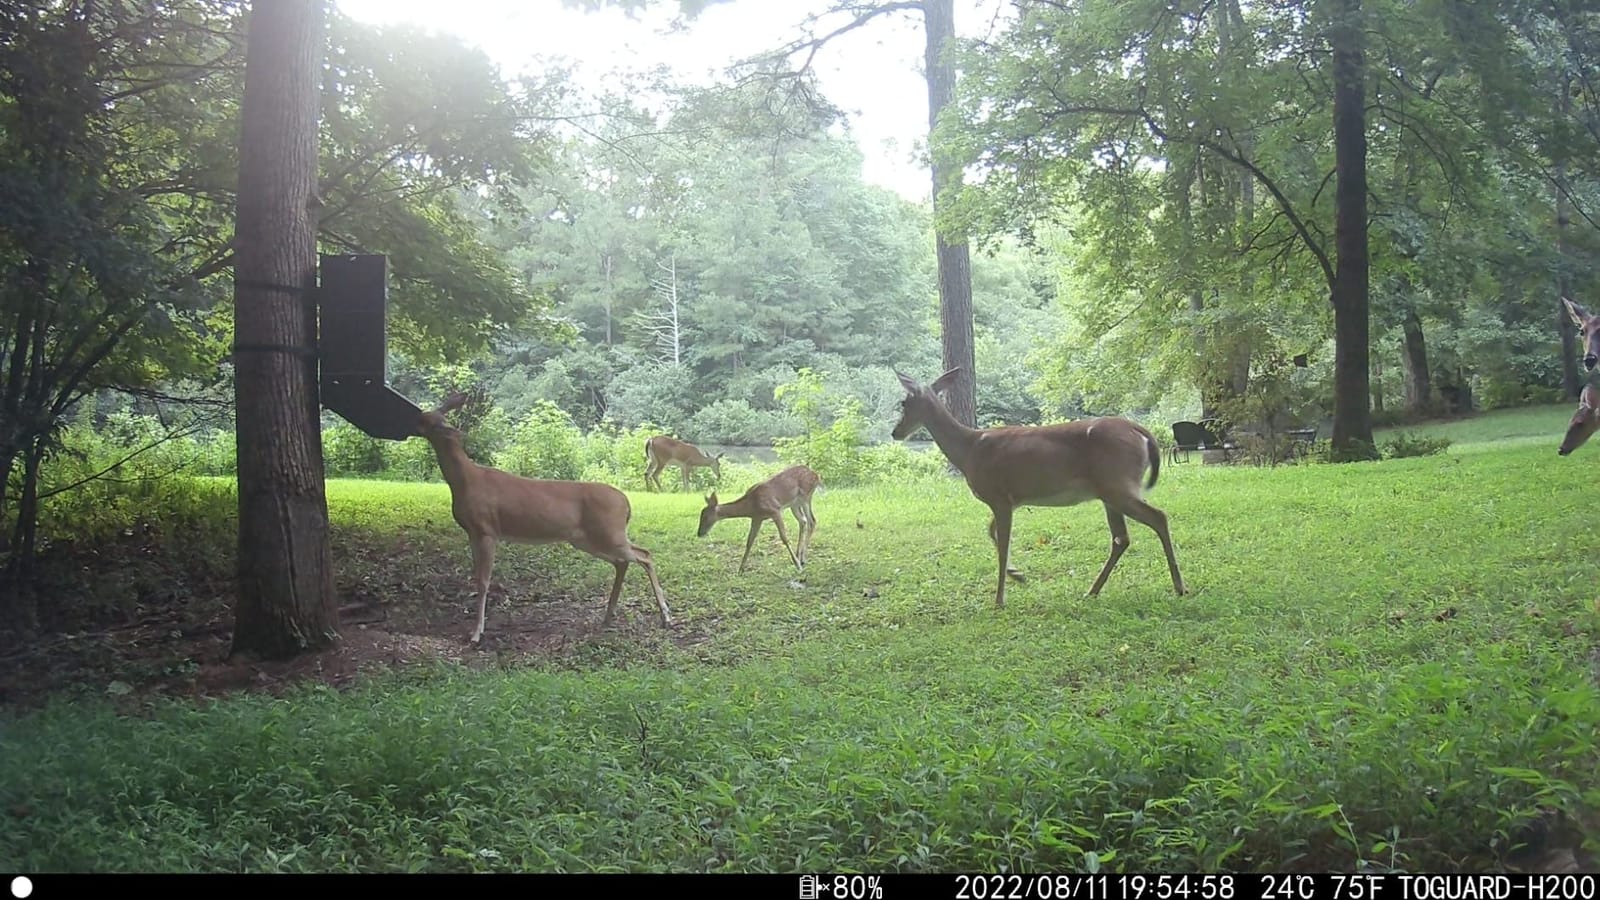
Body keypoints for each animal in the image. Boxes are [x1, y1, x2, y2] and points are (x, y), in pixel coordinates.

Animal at [415, 392, 672, 643]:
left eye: (430, 421)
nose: (414, 421)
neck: (466, 480)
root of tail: (626, 504)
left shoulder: (487, 529)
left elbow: (484, 581)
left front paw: (477, 633)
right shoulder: (471, 532)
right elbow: (476, 577)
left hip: (609, 533)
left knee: (645, 555)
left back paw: (666, 616)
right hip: (587, 539)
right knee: (624, 561)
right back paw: (609, 616)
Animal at [891, 367, 1186, 608]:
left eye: (904, 403)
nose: (895, 432)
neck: (969, 450)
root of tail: (1140, 430)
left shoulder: (999, 497)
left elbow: (1002, 544)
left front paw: (999, 599)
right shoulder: (1009, 500)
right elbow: (991, 532)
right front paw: (1018, 576)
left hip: (1118, 484)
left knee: (1158, 517)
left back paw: (1179, 586)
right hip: (1109, 493)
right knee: (1121, 538)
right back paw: (1091, 591)